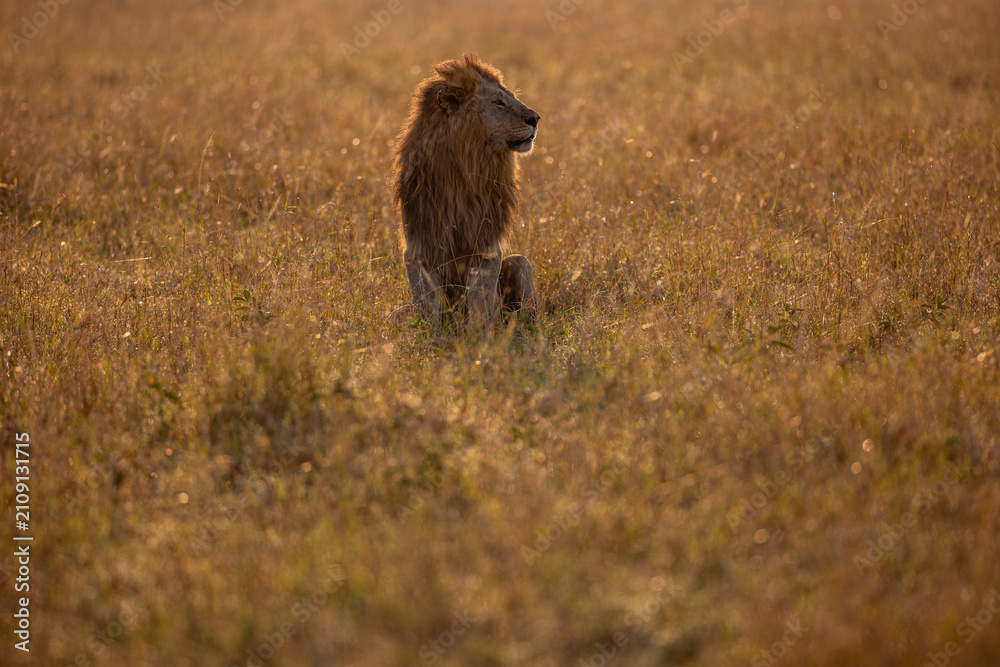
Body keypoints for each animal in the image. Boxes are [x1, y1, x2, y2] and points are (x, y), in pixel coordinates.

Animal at [392, 54, 540, 326]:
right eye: (499, 103)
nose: (536, 119)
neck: (464, 169)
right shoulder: (419, 248)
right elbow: (427, 304)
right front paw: (431, 335)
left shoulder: (486, 246)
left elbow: (480, 304)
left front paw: (479, 335)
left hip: (519, 262)